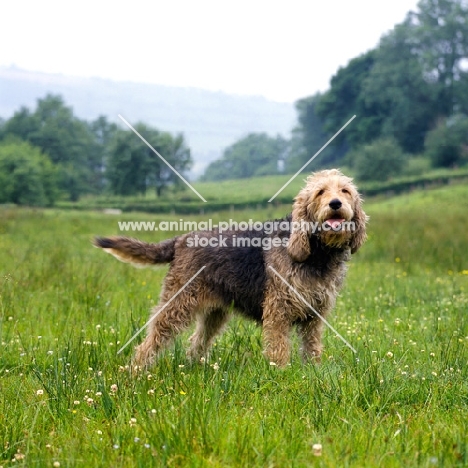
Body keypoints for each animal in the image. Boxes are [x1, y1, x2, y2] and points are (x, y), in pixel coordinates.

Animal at [94, 170, 366, 368]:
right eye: (320, 192)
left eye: (345, 190)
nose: (335, 203)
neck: (318, 253)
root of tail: (181, 239)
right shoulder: (278, 312)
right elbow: (278, 348)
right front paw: (280, 373)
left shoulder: (315, 316)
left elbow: (312, 348)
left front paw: (313, 372)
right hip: (177, 304)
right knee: (149, 342)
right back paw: (136, 371)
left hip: (214, 313)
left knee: (196, 342)